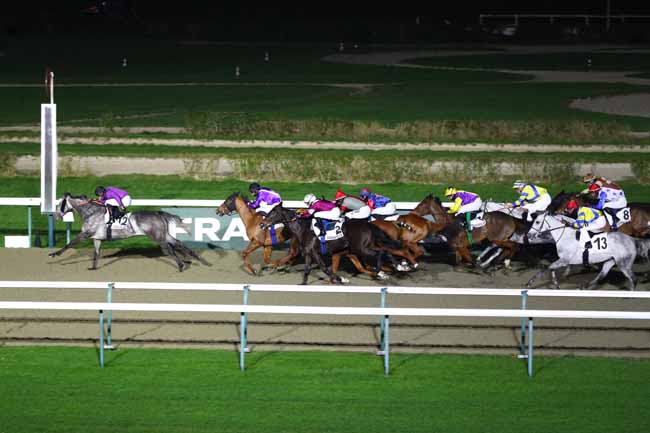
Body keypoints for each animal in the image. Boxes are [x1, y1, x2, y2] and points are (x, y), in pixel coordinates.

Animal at [48, 192, 210, 270]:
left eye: (59, 204)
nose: (56, 215)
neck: (91, 212)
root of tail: (158, 213)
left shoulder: (86, 234)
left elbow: (70, 243)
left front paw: (54, 254)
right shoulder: (97, 238)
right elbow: (96, 253)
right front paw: (93, 268)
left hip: (158, 237)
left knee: (170, 249)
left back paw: (181, 265)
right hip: (164, 235)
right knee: (179, 244)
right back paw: (201, 262)